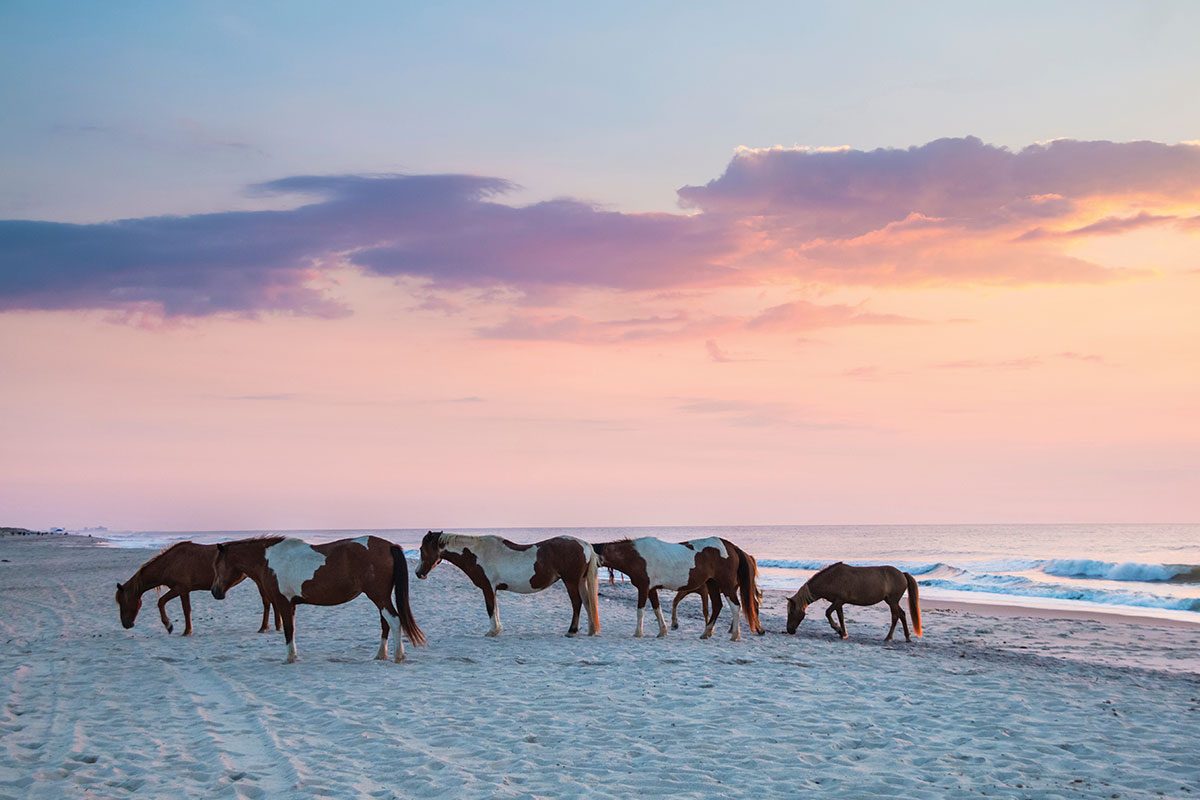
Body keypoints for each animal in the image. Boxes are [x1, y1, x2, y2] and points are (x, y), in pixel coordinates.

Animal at [115, 541, 278, 636]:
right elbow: (176, 607)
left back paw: (264, 627)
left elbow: (169, 605)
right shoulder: (182, 590)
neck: (170, 562)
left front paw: (175, 628)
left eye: (123, 602)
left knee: (267, 602)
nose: (126, 624)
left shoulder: (181, 589)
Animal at [211, 535, 425, 663]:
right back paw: (381, 655)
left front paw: (290, 658)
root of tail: (389, 546)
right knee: (386, 623)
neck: (269, 560)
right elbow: (292, 629)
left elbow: (288, 630)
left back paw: (398, 656)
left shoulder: (283, 602)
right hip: (381, 598)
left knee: (394, 621)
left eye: (217, 566)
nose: (215, 591)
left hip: (379, 596)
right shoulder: (291, 605)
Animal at [416, 531, 600, 637]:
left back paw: (572, 631)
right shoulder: (493, 589)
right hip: (580, 581)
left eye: (422, 549)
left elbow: (490, 608)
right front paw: (497, 629)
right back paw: (590, 630)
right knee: (587, 603)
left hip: (571, 581)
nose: (418, 573)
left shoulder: (488, 587)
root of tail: (585, 545)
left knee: (577, 603)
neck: (477, 553)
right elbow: (495, 608)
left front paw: (493, 631)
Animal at [592, 537, 762, 640]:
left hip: (726, 585)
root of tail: (731, 547)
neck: (636, 556)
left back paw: (735, 635)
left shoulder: (643, 588)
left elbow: (640, 611)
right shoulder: (651, 589)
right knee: (717, 606)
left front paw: (638, 633)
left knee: (735, 606)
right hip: (712, 584)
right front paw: (662, 631)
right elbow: (657, 609)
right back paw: (706, 633)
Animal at [785, 562, 923, 641]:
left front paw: (839, 630)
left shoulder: (839, 601)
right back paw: (907, 637)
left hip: (892, 602)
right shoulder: (839, 603)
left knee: (895, 616)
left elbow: (828, 613)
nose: (789, 630)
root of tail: (902, 574)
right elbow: (840, 617)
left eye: (791, 612)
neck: (831, 578)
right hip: (892, 601)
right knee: (902, 614)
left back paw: (888, 638)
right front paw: (843, 633)